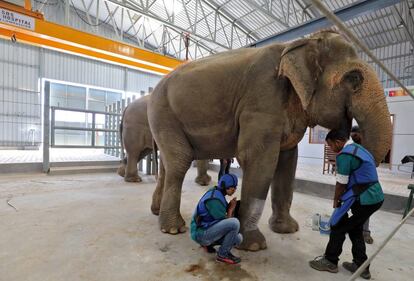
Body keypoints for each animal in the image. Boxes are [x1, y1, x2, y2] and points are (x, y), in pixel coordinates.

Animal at [148, 30, 392, 249]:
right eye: (354, 78)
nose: (336, 134)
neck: (302, 43)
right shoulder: (262, 98)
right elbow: (258, 159)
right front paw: (253, 245)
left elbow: (288, 162)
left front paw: (287, 229)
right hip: (163, 114)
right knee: (179, 162)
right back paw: (172, 229)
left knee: (167, 164)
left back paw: (157, 213)